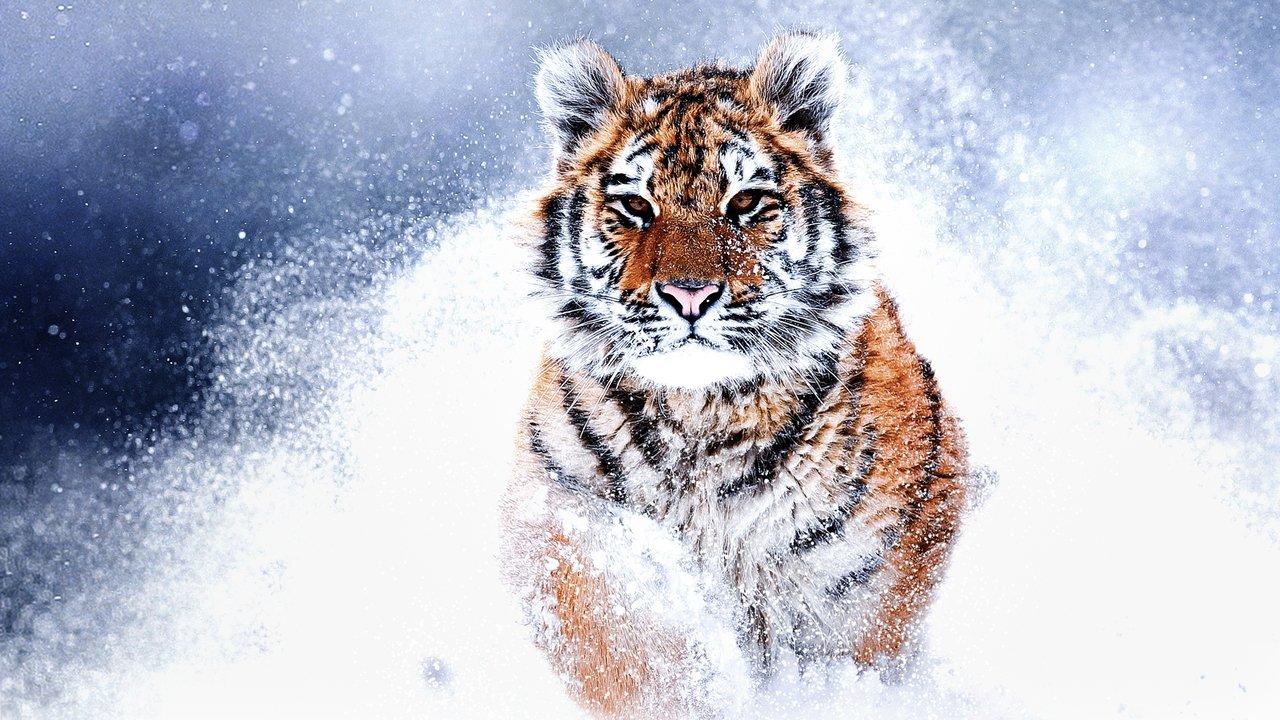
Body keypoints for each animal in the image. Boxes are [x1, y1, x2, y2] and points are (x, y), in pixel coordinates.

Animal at [499, 32, 968, 718]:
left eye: (745, 202)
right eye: (635, 205)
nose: (689, 295)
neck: (702, 413)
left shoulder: (862, 578)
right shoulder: (563, 521)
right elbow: (622, 647)